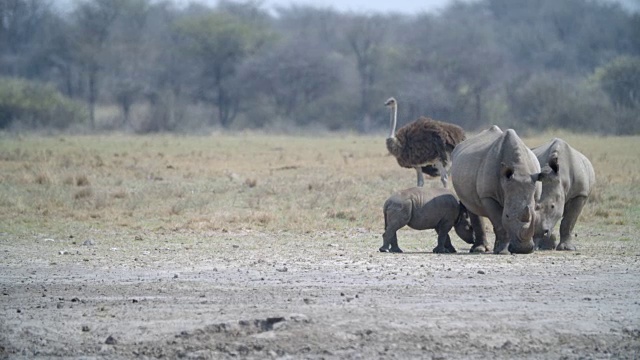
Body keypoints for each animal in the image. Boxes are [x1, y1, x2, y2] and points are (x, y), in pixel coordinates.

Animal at [450, 125, 540, 255]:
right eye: (507, 216)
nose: (523, 249)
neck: (520, 170)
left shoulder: (535, 195)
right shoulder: (488, 195)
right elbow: (500, 222)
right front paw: (503, 252)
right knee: (472, 207)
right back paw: (480, 249)